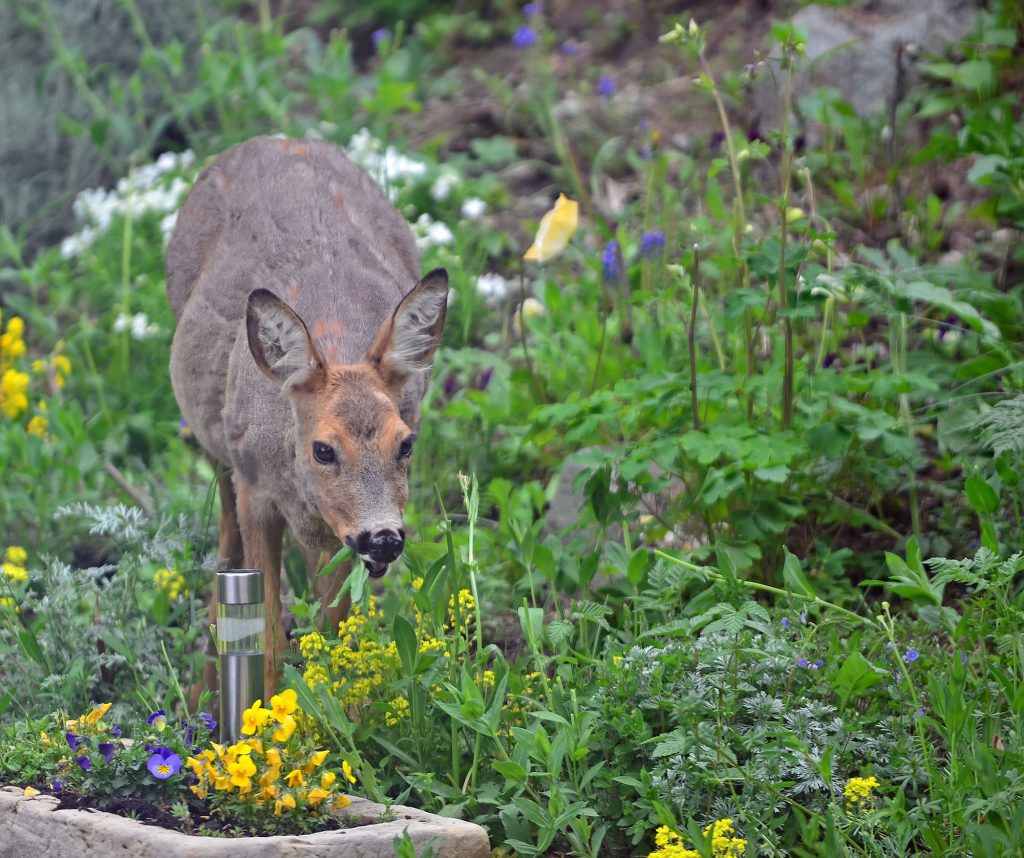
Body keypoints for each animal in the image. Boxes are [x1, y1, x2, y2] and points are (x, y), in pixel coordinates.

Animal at [165, 138, 446, 700]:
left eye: (405, 443)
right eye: (323, 448)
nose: (384, 537)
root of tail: (274, 138)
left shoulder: (336, 534)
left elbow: (338, 637)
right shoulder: (256, 492)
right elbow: (269, 638)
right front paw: (265, 714)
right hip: (218, 451)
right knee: (223, 548)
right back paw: (201, 692)